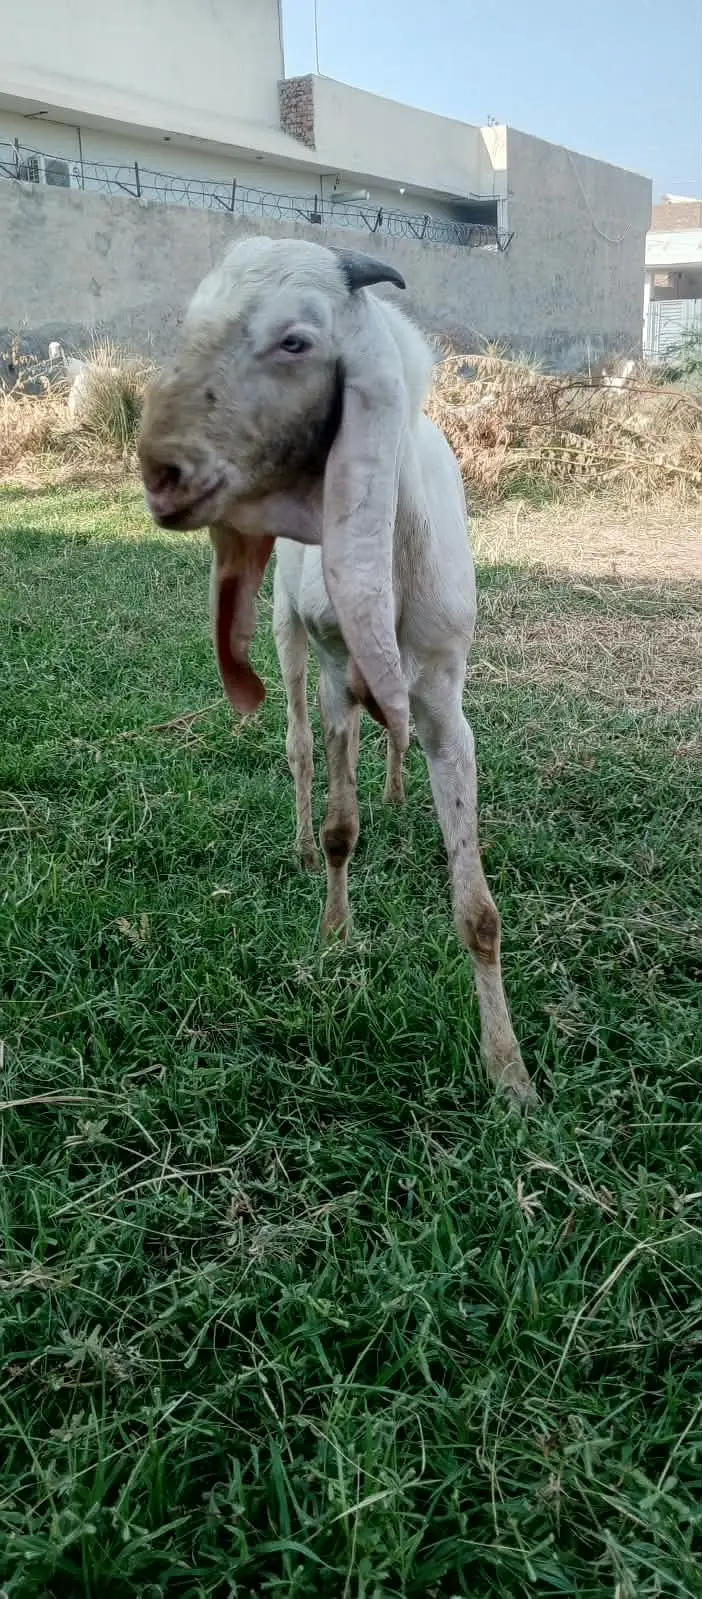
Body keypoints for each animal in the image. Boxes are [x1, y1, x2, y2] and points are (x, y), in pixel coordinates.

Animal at [138, 235, 535, 1107]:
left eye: (296, 340)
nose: (161, 473)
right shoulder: (333, 675)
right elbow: (339, 828)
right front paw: (335, 935)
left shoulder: (446, 697)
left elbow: (479, 909)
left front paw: (510, 1074)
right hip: (288, 635)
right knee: (297, 750)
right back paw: (296, 839)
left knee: (389, 739)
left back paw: (395, 789)